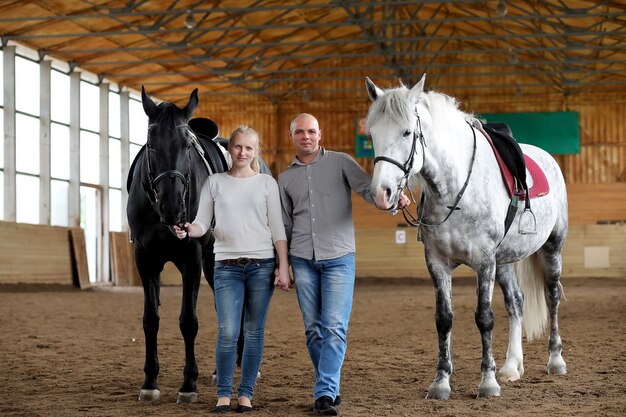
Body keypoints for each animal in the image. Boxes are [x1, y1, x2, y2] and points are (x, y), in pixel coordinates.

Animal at [125, 88, 228, 404]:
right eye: (150, 144)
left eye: (186, 146)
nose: (172, 207)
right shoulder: (144, 258)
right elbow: (151, 320)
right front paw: (149, 381)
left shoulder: (190, 257)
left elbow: (188, 321)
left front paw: (188, 384)